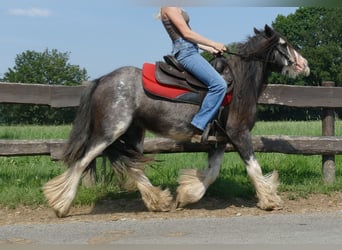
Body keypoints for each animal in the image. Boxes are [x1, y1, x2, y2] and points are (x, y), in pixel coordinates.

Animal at [42, 24, 310, 218]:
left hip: (133, 133)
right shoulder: (239, 133)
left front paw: (187, 194)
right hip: (109, 132)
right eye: (284, 44)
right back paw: (61, 204)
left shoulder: (220, 139)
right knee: (82, 161)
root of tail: (101, 80)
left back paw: (158, 201)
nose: (305, 65)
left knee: (132, 165)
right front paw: (270, 200)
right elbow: (253, 168)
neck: (239, 83)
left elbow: (212, 173)